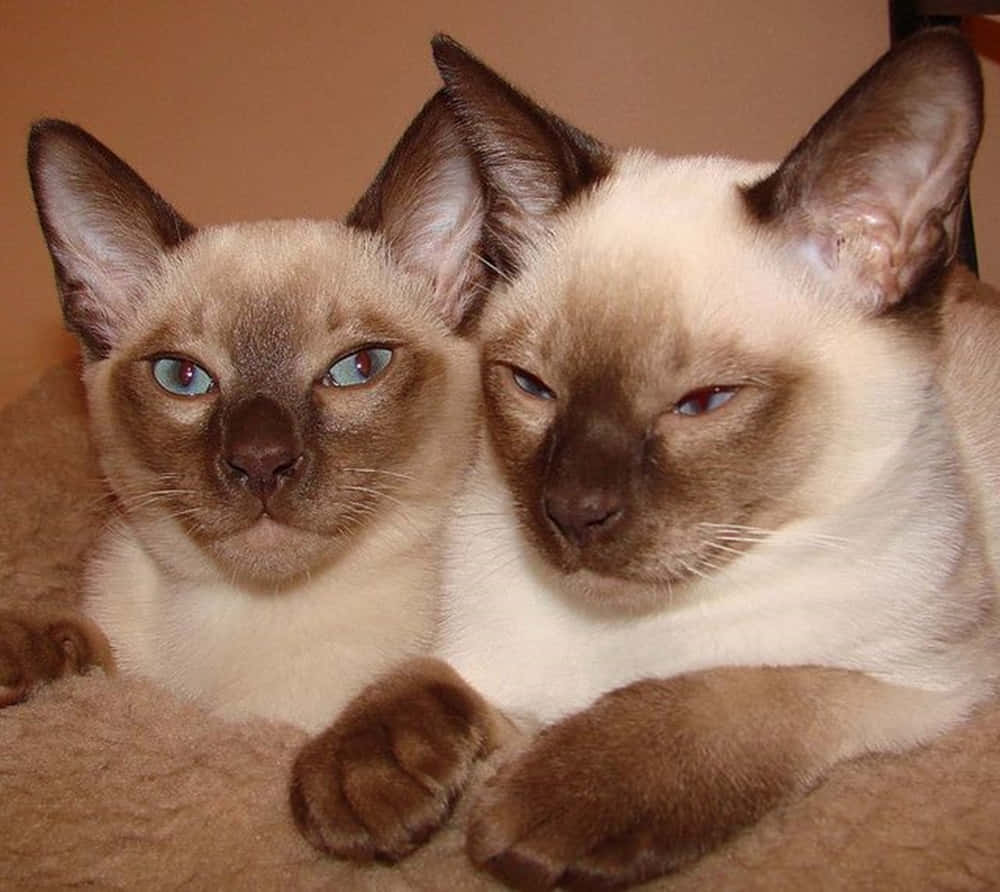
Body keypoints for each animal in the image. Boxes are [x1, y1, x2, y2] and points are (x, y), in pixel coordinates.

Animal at [290, 27, 1000, 892]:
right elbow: (422, 673)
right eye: (531, 386)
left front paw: (560, 797)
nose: (572, 513)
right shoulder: (493, 667)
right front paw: (365, 774)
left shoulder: (929, 681)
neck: (619, 625)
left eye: (703, 402)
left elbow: (740, 689)